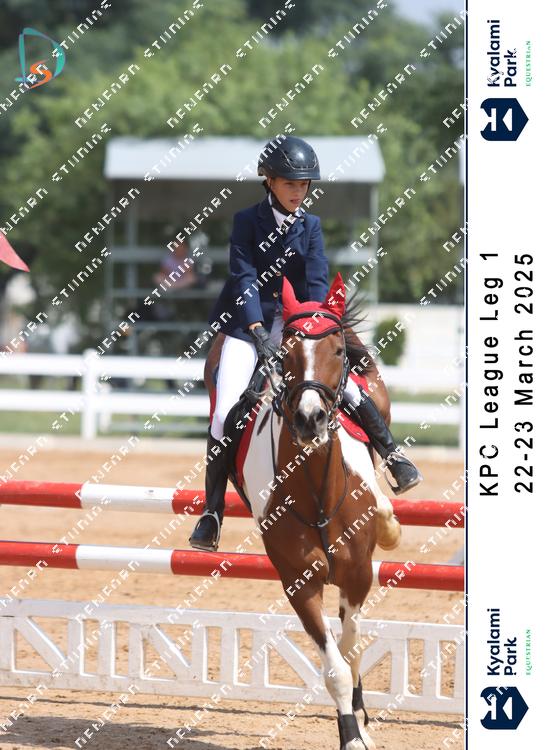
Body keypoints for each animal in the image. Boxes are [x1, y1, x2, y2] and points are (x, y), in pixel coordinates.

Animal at [204, 272, 401, 750]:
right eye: (285, 354)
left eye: (336, 352)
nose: (311, 419)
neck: (317, 493)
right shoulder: (300, 582)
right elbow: (335, 668)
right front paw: (351, 733)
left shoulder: (357, 574)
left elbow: (350, 648)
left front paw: (362, 722)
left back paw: (390, 514)